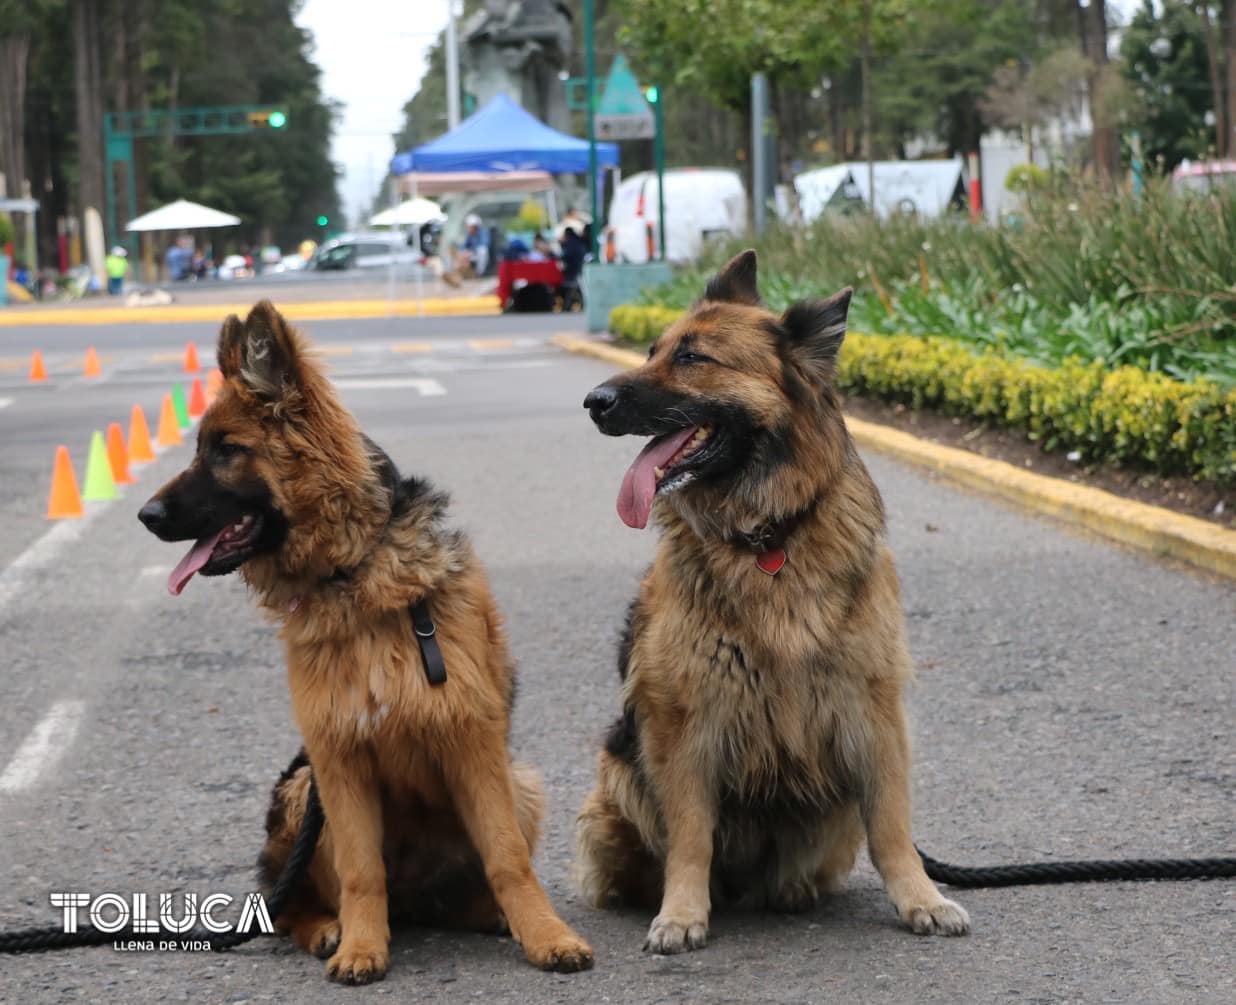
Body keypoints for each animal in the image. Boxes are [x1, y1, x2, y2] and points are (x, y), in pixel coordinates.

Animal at [140, 304, 593, 979]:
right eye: (202, 448)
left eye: (226, 450)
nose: (144, 516)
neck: (355, 570)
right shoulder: (337, 756)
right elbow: (359, 870)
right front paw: (360, 946)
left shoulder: (475, 743)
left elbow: (508, 857)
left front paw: (546, 934)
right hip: (302, 790)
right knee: (289, 903)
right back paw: (329, 928)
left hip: (522, 781)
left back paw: (489, 915)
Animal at [573, 250, 969, 949]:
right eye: (652, 351)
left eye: (692, 358)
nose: (594, 402)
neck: (766, 538)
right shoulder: (684, 722)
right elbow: (691, 837)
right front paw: (681, 914)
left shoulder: (873, 711)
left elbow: (892, 827)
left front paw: (921, 898)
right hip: (619, 771)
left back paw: (791, 892)